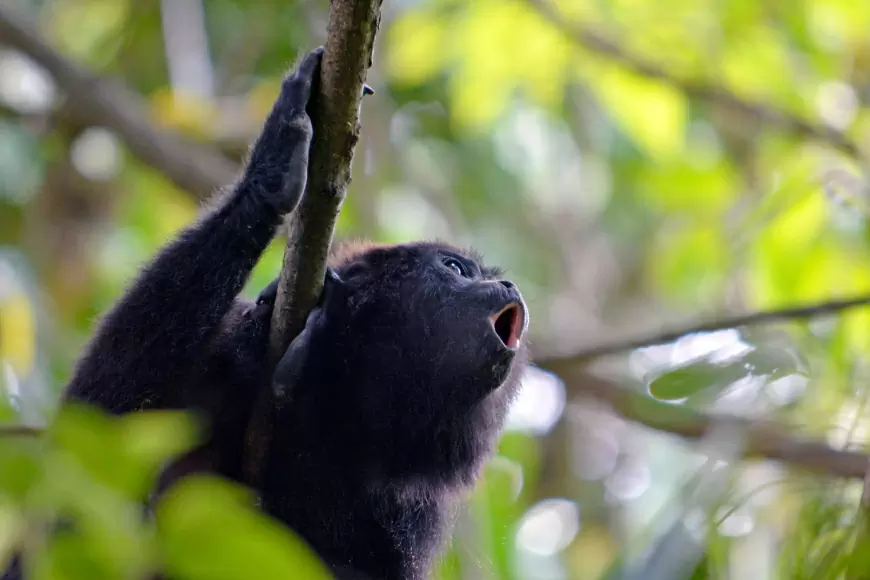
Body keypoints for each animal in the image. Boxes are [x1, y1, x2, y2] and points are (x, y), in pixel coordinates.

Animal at [6, 46, 532, 580]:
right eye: (455, 268)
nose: (509, 285)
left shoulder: (416, 511)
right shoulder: (227, 350)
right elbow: (97, 429)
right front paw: (274, 168)